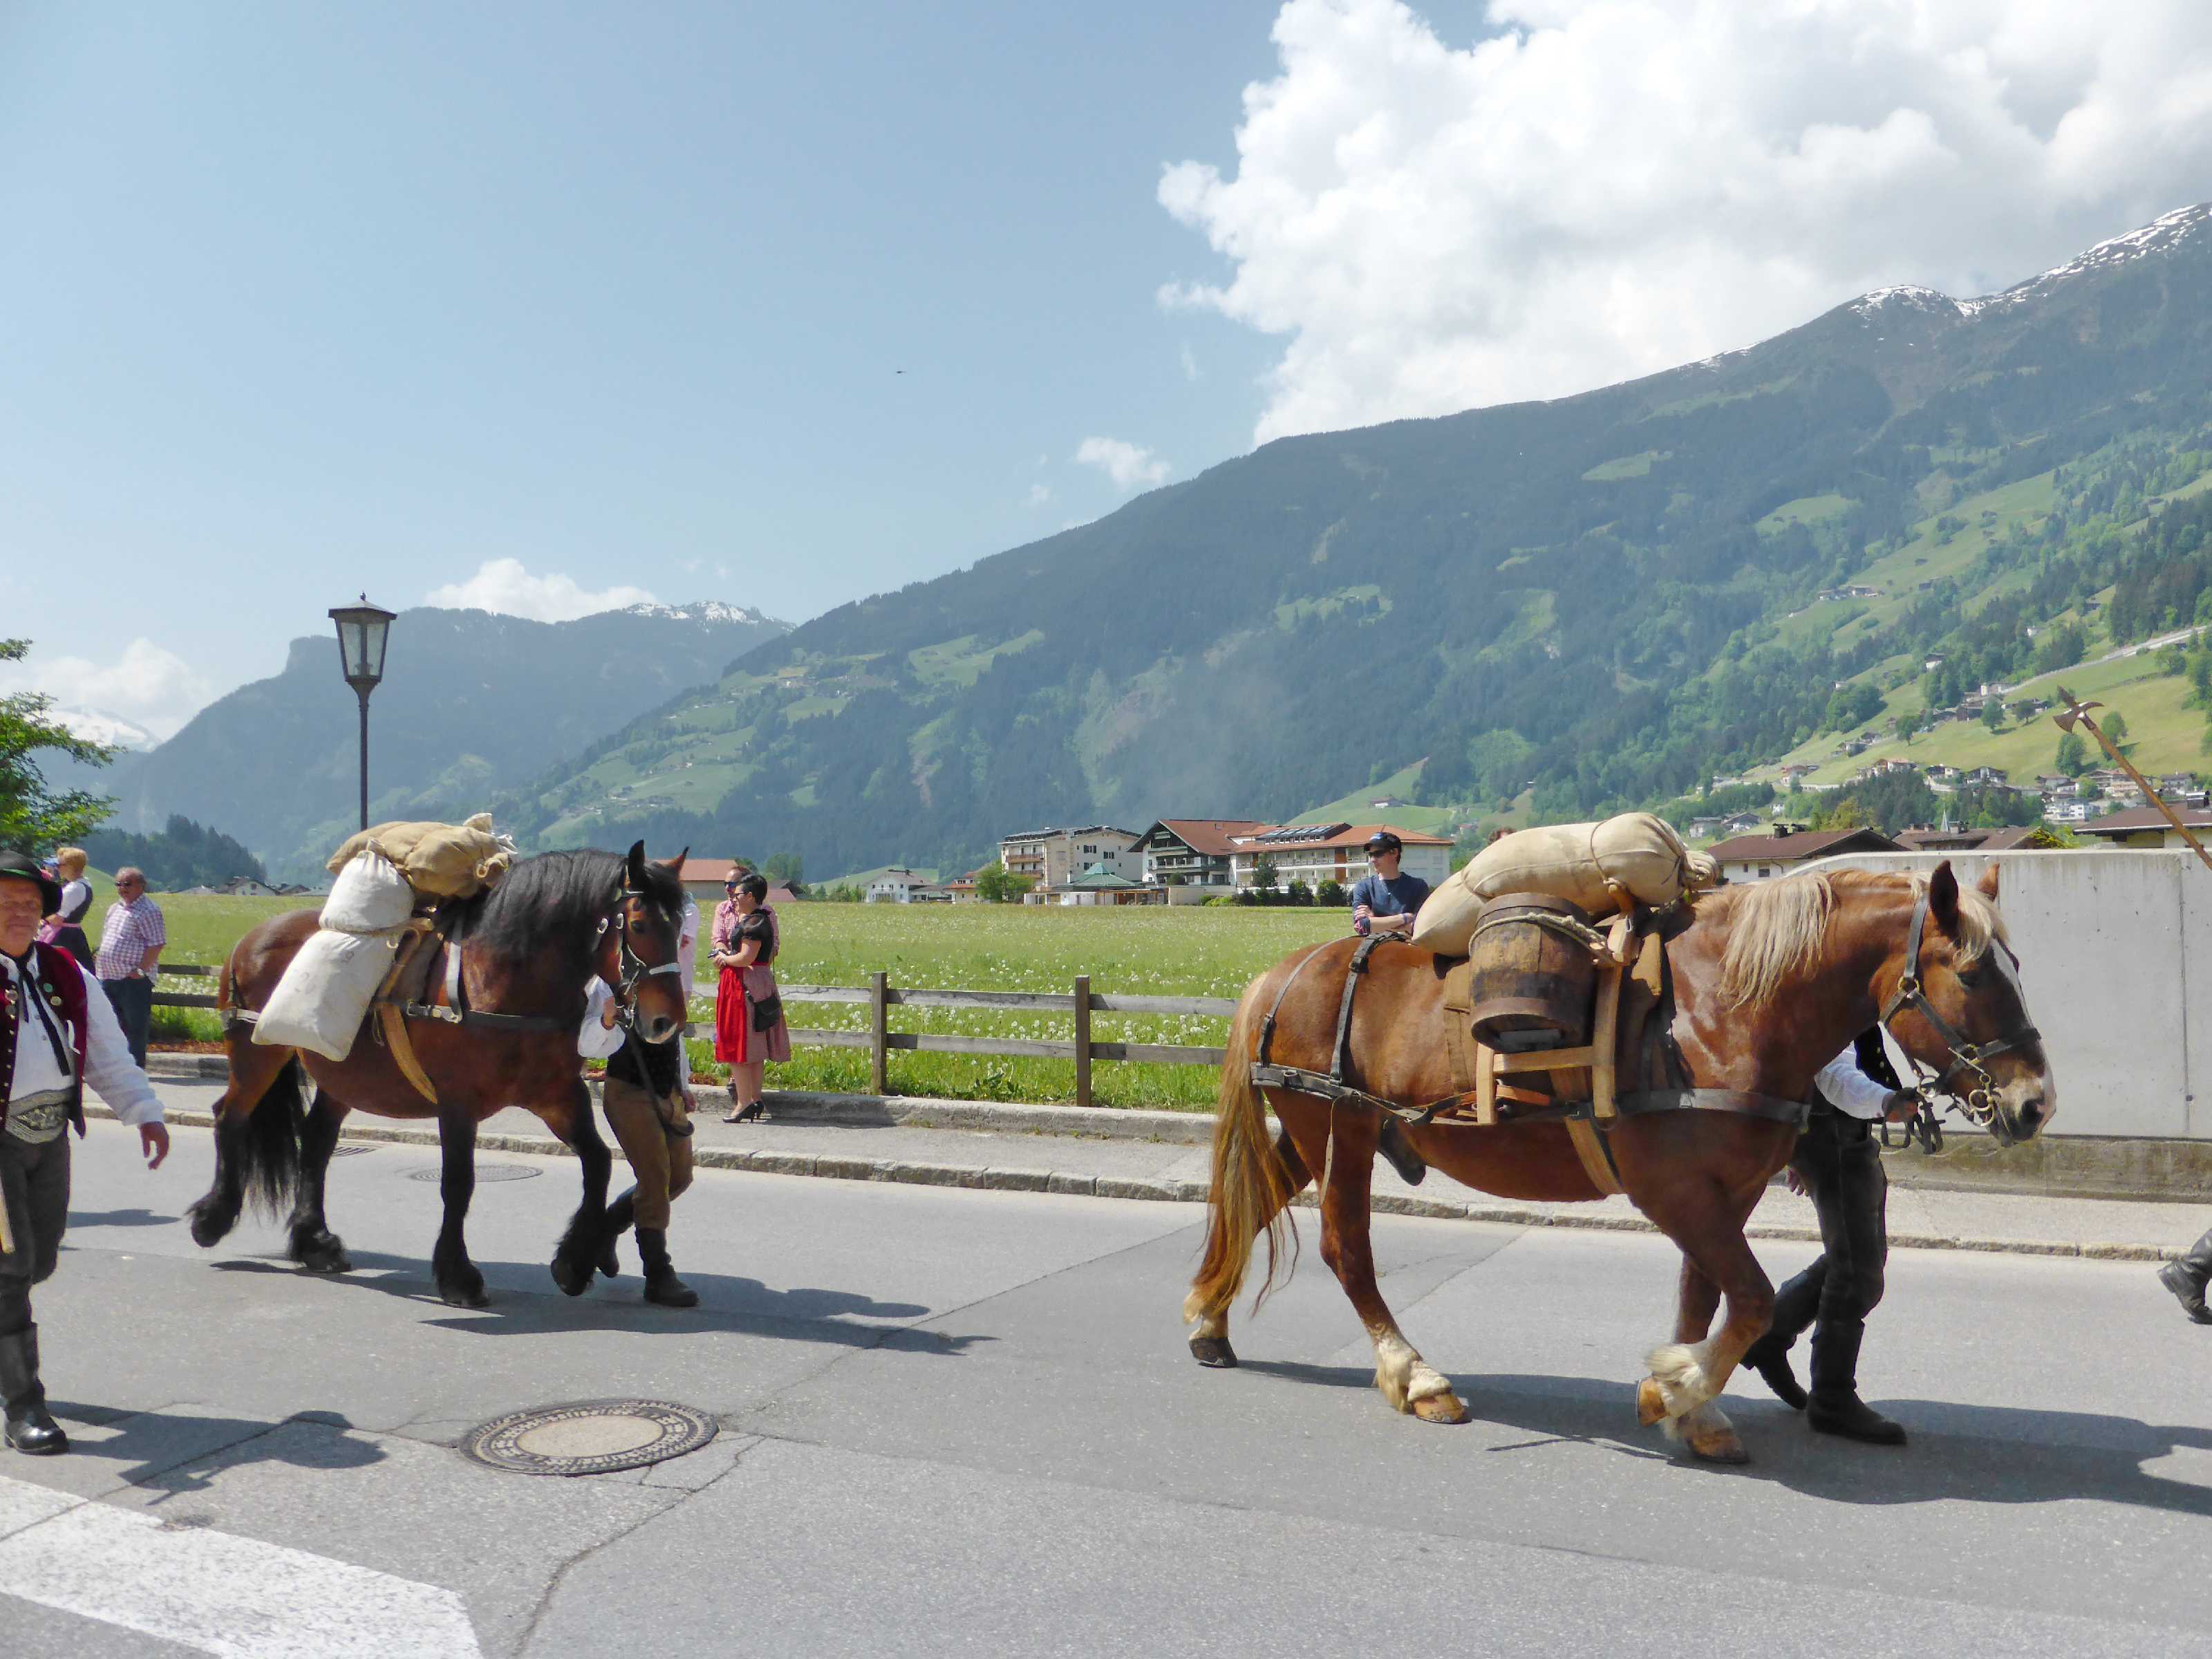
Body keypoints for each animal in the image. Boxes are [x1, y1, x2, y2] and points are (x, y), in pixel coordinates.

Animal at [186, 842, 691, 1308]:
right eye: (640, 925)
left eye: (679, 928)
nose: (666, 1021)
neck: (505, 976)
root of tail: (254, 936)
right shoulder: (458, 1104)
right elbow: (458, 1184)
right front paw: (458, 1275)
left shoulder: (557, 1097)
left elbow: (599, 1162)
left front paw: (575, 1260)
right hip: (257, 1056)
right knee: (229, 1115)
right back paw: (214, 1217)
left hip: (342, 1075)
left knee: (315, 1140)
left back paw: (315, 1241)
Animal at [1184, 861, 2053, 1463]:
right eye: (1971, 972)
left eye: (2016, 968)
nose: (2033, 1102)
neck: (1722, 1006)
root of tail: (1285, 972)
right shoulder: (1673, 1192)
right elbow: (1749, 1299)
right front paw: (1673, 1386)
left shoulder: (1723, 1194)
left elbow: (1709, 1297)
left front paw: (1692, 1406)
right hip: (1340, 1134)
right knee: (1346, 1250)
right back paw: (1414, 1375)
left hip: (1312, 1133)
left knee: (1253, 1207)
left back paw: (1208, 1321)